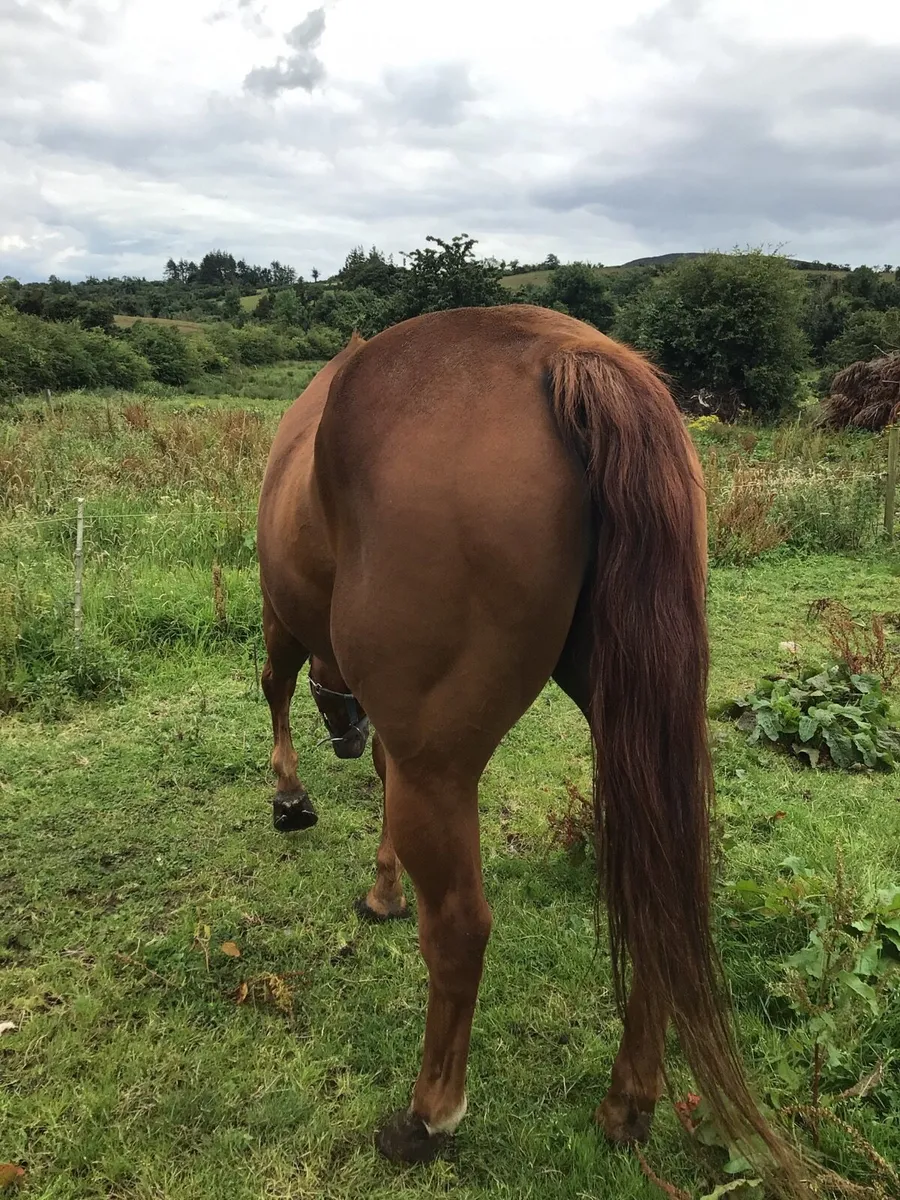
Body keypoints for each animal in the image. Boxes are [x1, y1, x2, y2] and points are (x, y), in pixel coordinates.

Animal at [256, 304, 802, 1188]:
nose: (343, 733)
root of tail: (566, 356)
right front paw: (382, 889)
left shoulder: (286, 620)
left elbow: (273, 687)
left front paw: (291, 800)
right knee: (655, 891)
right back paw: (627, 1105)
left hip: (442, 771)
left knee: (460, 930)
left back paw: (428, 1116)